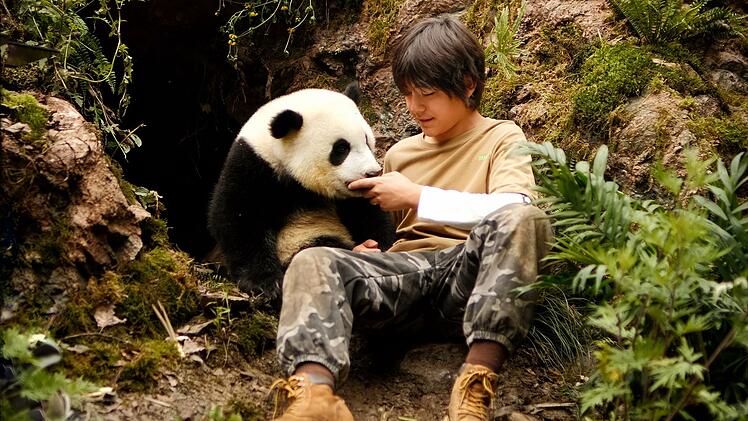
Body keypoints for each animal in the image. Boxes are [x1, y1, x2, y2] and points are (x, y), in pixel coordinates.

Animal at [207, 86, 395, 302]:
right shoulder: (254, 166)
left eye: (366, 140)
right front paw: (266, 284)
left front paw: (385, 246)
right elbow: (238, 217)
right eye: (341, 148)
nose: (372, 172)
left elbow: (369, 214)